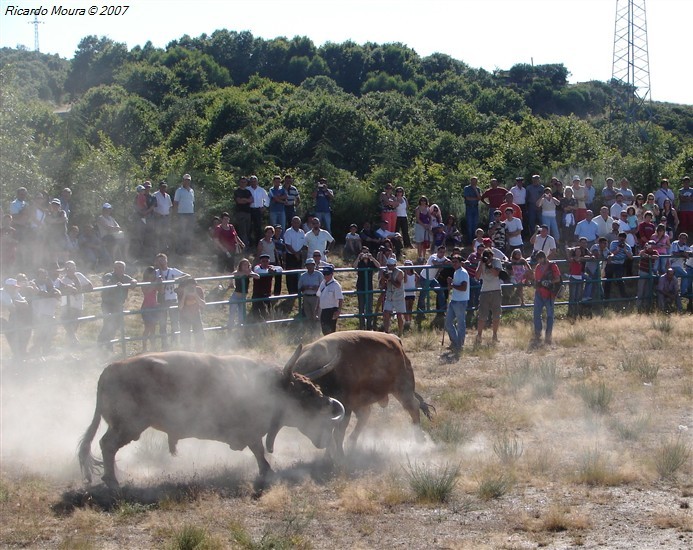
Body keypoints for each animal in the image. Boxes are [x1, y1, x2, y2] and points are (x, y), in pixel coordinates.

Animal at [77, 348, 344, 490]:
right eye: (306, 393)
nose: (329, 407)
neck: (271, 387)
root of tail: (108, 370)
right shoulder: (251, 432)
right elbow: (259, 450)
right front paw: (267, 471)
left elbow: (258, 450)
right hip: (128, 426)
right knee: (107, 445)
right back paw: (113, 481)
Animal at [264, 332, 432, 462]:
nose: (320, 441)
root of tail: (394, 339)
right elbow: (334, 433)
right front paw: (329, 455)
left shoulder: (346, 408)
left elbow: (338, 433)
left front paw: (339, 456)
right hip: (363, 401)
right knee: (365, 416)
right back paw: (352, 442)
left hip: (403, 389)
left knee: (413, 407)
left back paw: (419, 439)